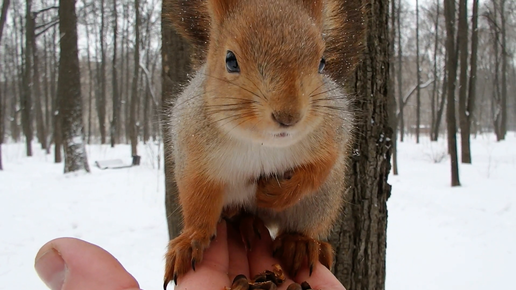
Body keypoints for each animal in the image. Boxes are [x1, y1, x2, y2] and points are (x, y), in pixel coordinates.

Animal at [163, 0, 364, 286]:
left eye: (322, 63)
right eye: (230, 60)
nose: (289, 116)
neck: (262, 144)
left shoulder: (332, 131)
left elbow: (320, 167)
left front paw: (276, 193)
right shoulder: (192, 148)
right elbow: (197, 197)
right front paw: (191, 239)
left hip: (322, 199)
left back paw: (299, 243)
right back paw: (245, 221)